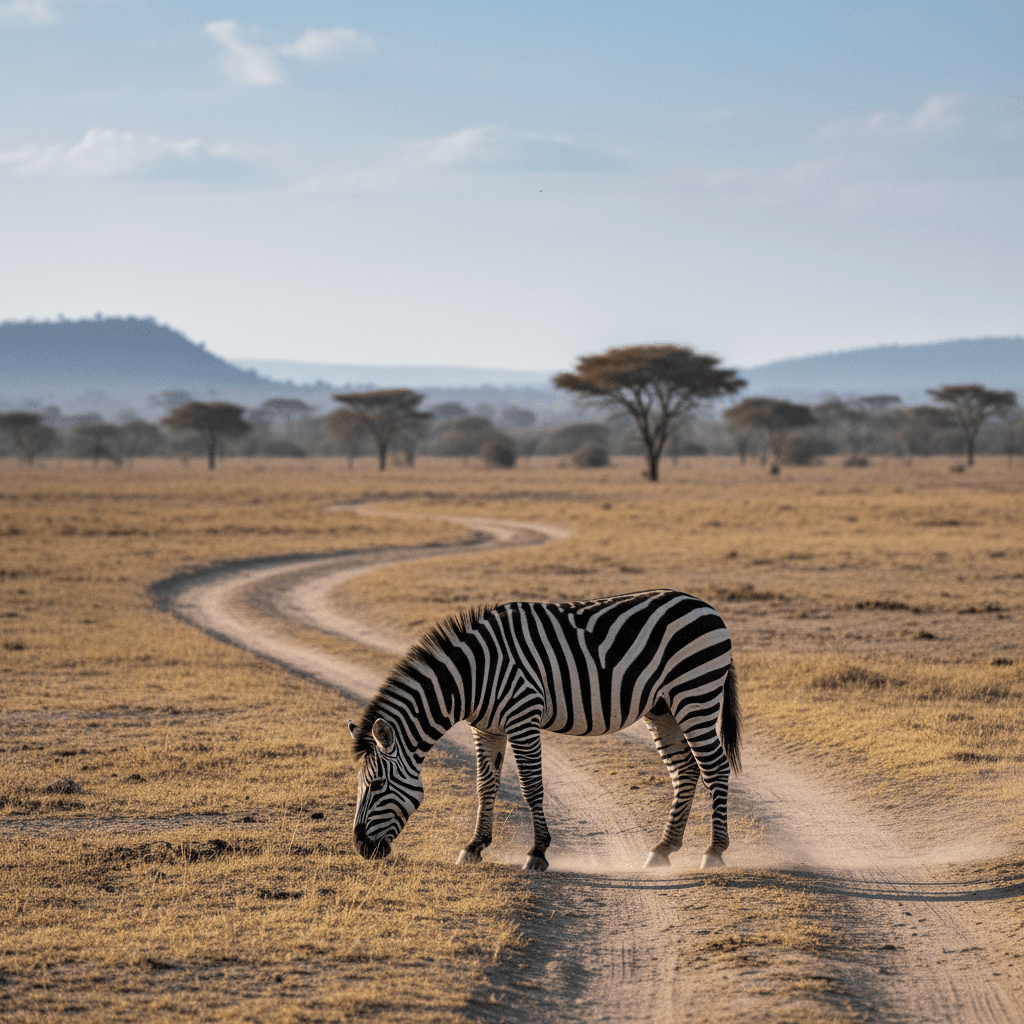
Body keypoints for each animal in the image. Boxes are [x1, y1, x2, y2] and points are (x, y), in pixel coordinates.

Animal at [348, 589, 741, 871]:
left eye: (377, 785)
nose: (360, 847)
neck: (472, 677)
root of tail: (706, 607)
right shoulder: (486, 729)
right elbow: (485, 786)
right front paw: (474, 847)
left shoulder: (523, 717)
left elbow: (531, 786)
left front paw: (537, 853)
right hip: (663, 708)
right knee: (685, 770)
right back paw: (663, 849)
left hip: (695, 694)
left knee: (715, 767)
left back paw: (714, 852)